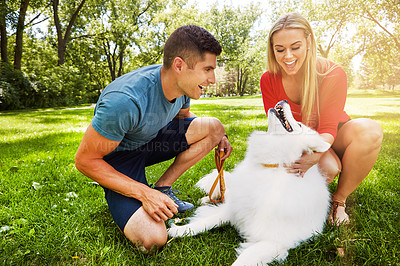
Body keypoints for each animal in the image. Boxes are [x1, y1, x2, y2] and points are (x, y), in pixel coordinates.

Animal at [169, 100, 332, 266]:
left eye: (299, 124)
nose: (284, 101)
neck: (275, 166)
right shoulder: (233, 210)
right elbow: (204, 222)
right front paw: (178, 230)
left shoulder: (274, 241)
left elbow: (243, 258)